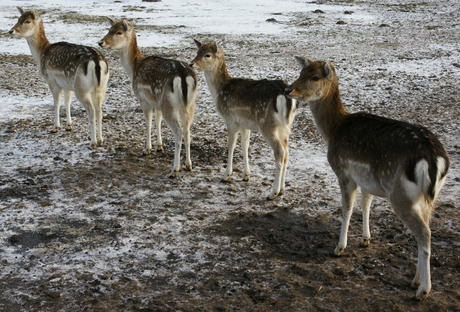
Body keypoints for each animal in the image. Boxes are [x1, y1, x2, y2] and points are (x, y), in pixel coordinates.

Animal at [9, 7, 110, 149]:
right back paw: (100, 140)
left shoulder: (52, 81)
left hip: (81, 88)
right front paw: (68, 126)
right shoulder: (67, 85)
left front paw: (55, 127)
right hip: (101, 88)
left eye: (27, 21)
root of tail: (96, 61)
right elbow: (67, 102)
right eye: (18, 18)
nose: (11, 31)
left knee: (91, 111)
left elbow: (56, 103)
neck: (41, 53)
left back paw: (92, 142)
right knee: (99, 110)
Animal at [99, 17, 197, 178]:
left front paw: (147, 149)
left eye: (118, 32)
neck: (133, 68)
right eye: (109, 29)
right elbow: (157, 121)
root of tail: (183, 76)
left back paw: (174, 170)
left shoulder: (143, 99)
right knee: (187, 130)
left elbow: (148, 122)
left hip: (169, 104)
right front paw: (159, 146)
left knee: (178, 131)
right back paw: (188, 165)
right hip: (189, 104)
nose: (101, 42)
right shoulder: (156, 103)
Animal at [189, 40, 296, 200]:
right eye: (197, 51)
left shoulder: (230, 120)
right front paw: (246, 175)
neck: (219, 91)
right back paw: (282, 189)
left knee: (280, 152)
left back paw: (273, 192)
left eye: (207, 54)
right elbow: (245, 146)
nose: (191, 64)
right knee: (287, 152)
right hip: (285, 126)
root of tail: (286, 97)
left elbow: (231, 145)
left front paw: (226, 175)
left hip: (267, 124)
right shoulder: (245, 124)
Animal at [284, 56, 450, 300]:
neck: (333, 130)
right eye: (300, 72)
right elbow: (366, 204)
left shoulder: (343, 172)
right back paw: (414, 281)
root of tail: (434, 158)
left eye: (314, 77)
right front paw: (365, 239)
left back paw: (422, 290)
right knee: (424, 229)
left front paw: (339, 248)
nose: (288, 89)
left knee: (424, 232)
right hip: (427, 197)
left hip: (400, 194)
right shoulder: (366, 180)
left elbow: (347, 208)